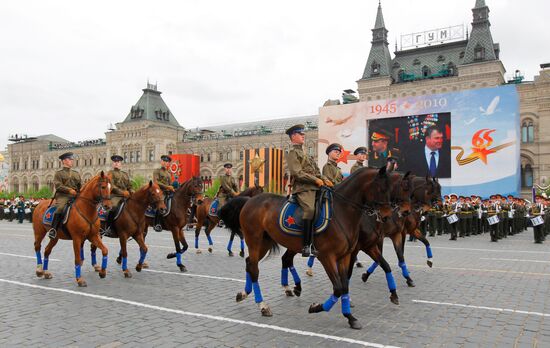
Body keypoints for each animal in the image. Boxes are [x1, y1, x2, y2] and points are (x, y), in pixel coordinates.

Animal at [222, 167, 394, 330]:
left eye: (390, 189)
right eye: (380, 188)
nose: (387, 215)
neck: (342, 212)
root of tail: (250, 201)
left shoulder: (344, 256)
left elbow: (345, 286)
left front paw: (350, 318)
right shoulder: (327, 257)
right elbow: (338, 288)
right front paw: (316, 307)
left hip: (264, 242)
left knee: (251, 263)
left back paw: (244, 294)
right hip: (254, 240)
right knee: (255, 268)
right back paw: (263, 305)